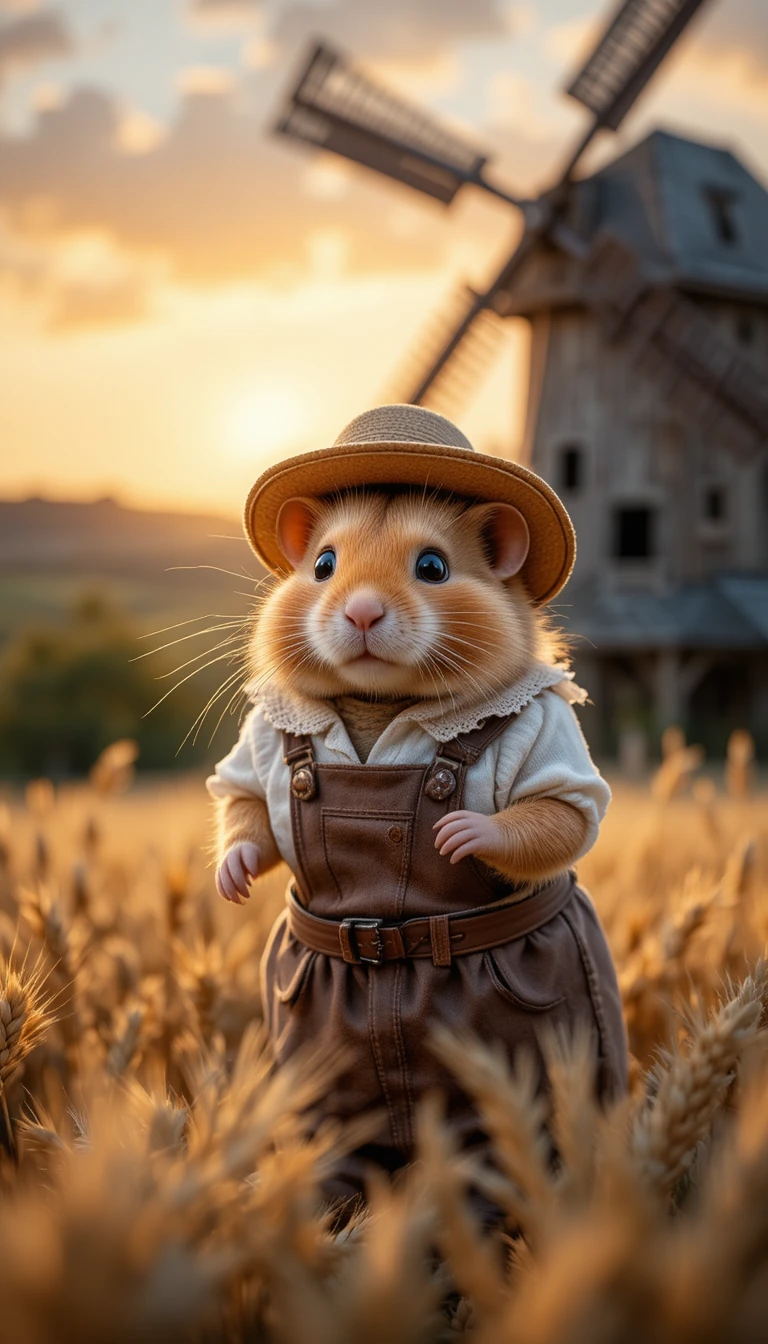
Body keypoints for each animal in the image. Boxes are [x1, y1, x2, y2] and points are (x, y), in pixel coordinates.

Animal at [213, 489, 587, 903]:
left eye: (433, 567)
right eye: (323, 564)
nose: (362, 612)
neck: (377, 700)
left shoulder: (550, 731)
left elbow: (560, 813)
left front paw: (458, 832)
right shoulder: (259, 740)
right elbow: (245, 802)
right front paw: (232, 880)